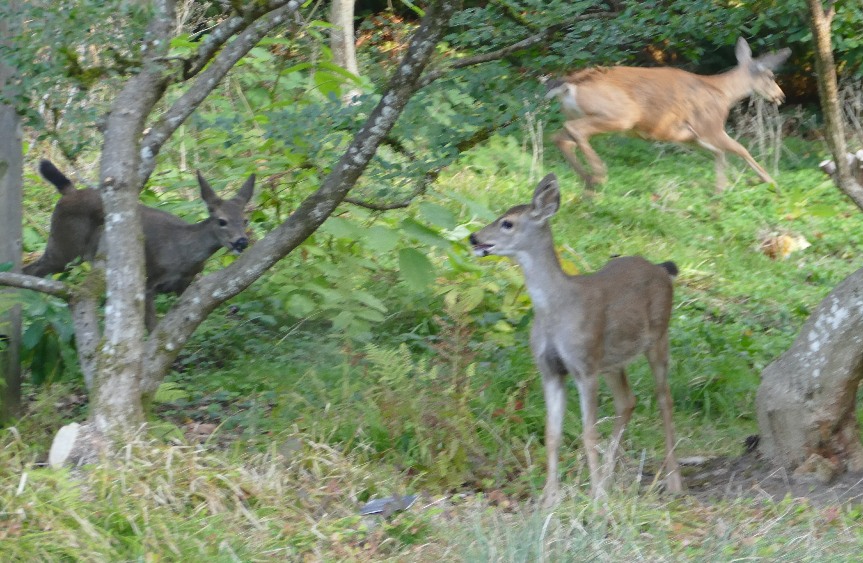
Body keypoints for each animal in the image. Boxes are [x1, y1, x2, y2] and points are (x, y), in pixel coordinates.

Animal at [25, 161, 255, 330]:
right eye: (222, 221)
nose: (241, 241)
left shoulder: (186, 284)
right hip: (64, 247)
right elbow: (152, 327)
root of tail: (69, 192)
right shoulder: (146, 282)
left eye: (245, 220)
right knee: (30, 269)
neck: (182, 253)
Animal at [472, 173, 680, 506]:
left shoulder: (584, 366)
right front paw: (550, 498)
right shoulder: (551, 370)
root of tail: (662, 268)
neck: (555, 311)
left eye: (507, 223)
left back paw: (673, 481)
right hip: (612, 360)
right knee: (628, 401)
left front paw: (596, 498)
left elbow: (588, 432)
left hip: (658, 337)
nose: (474, 238)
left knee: (664, 399)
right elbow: (552, 434)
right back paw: (609, 476)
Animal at [552, 38, 792, 192]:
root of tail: (569, 86)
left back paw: (587, 179)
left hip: (583, 115)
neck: (723, 93)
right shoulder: (710, 126)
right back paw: (599, 174)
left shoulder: (689, 135)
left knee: (562, 137)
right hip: (621, 115)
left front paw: (720, 189)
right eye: (770, 76)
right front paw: (771, 182)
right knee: (574, 131)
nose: (781, 96)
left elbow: (719, 154)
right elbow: (741, 149)